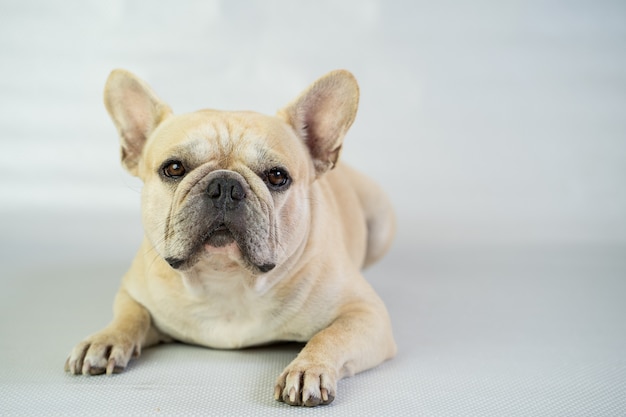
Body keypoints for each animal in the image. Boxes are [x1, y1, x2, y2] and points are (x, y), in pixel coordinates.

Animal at [63, 69, 394, 406]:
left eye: (277, 176)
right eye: (174, 168)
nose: (225, 186)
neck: (227, 280)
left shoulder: (366, 313)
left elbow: (331, 334)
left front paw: (308, 369)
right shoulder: (132, 291)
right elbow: (131, 315)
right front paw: (105, 339)